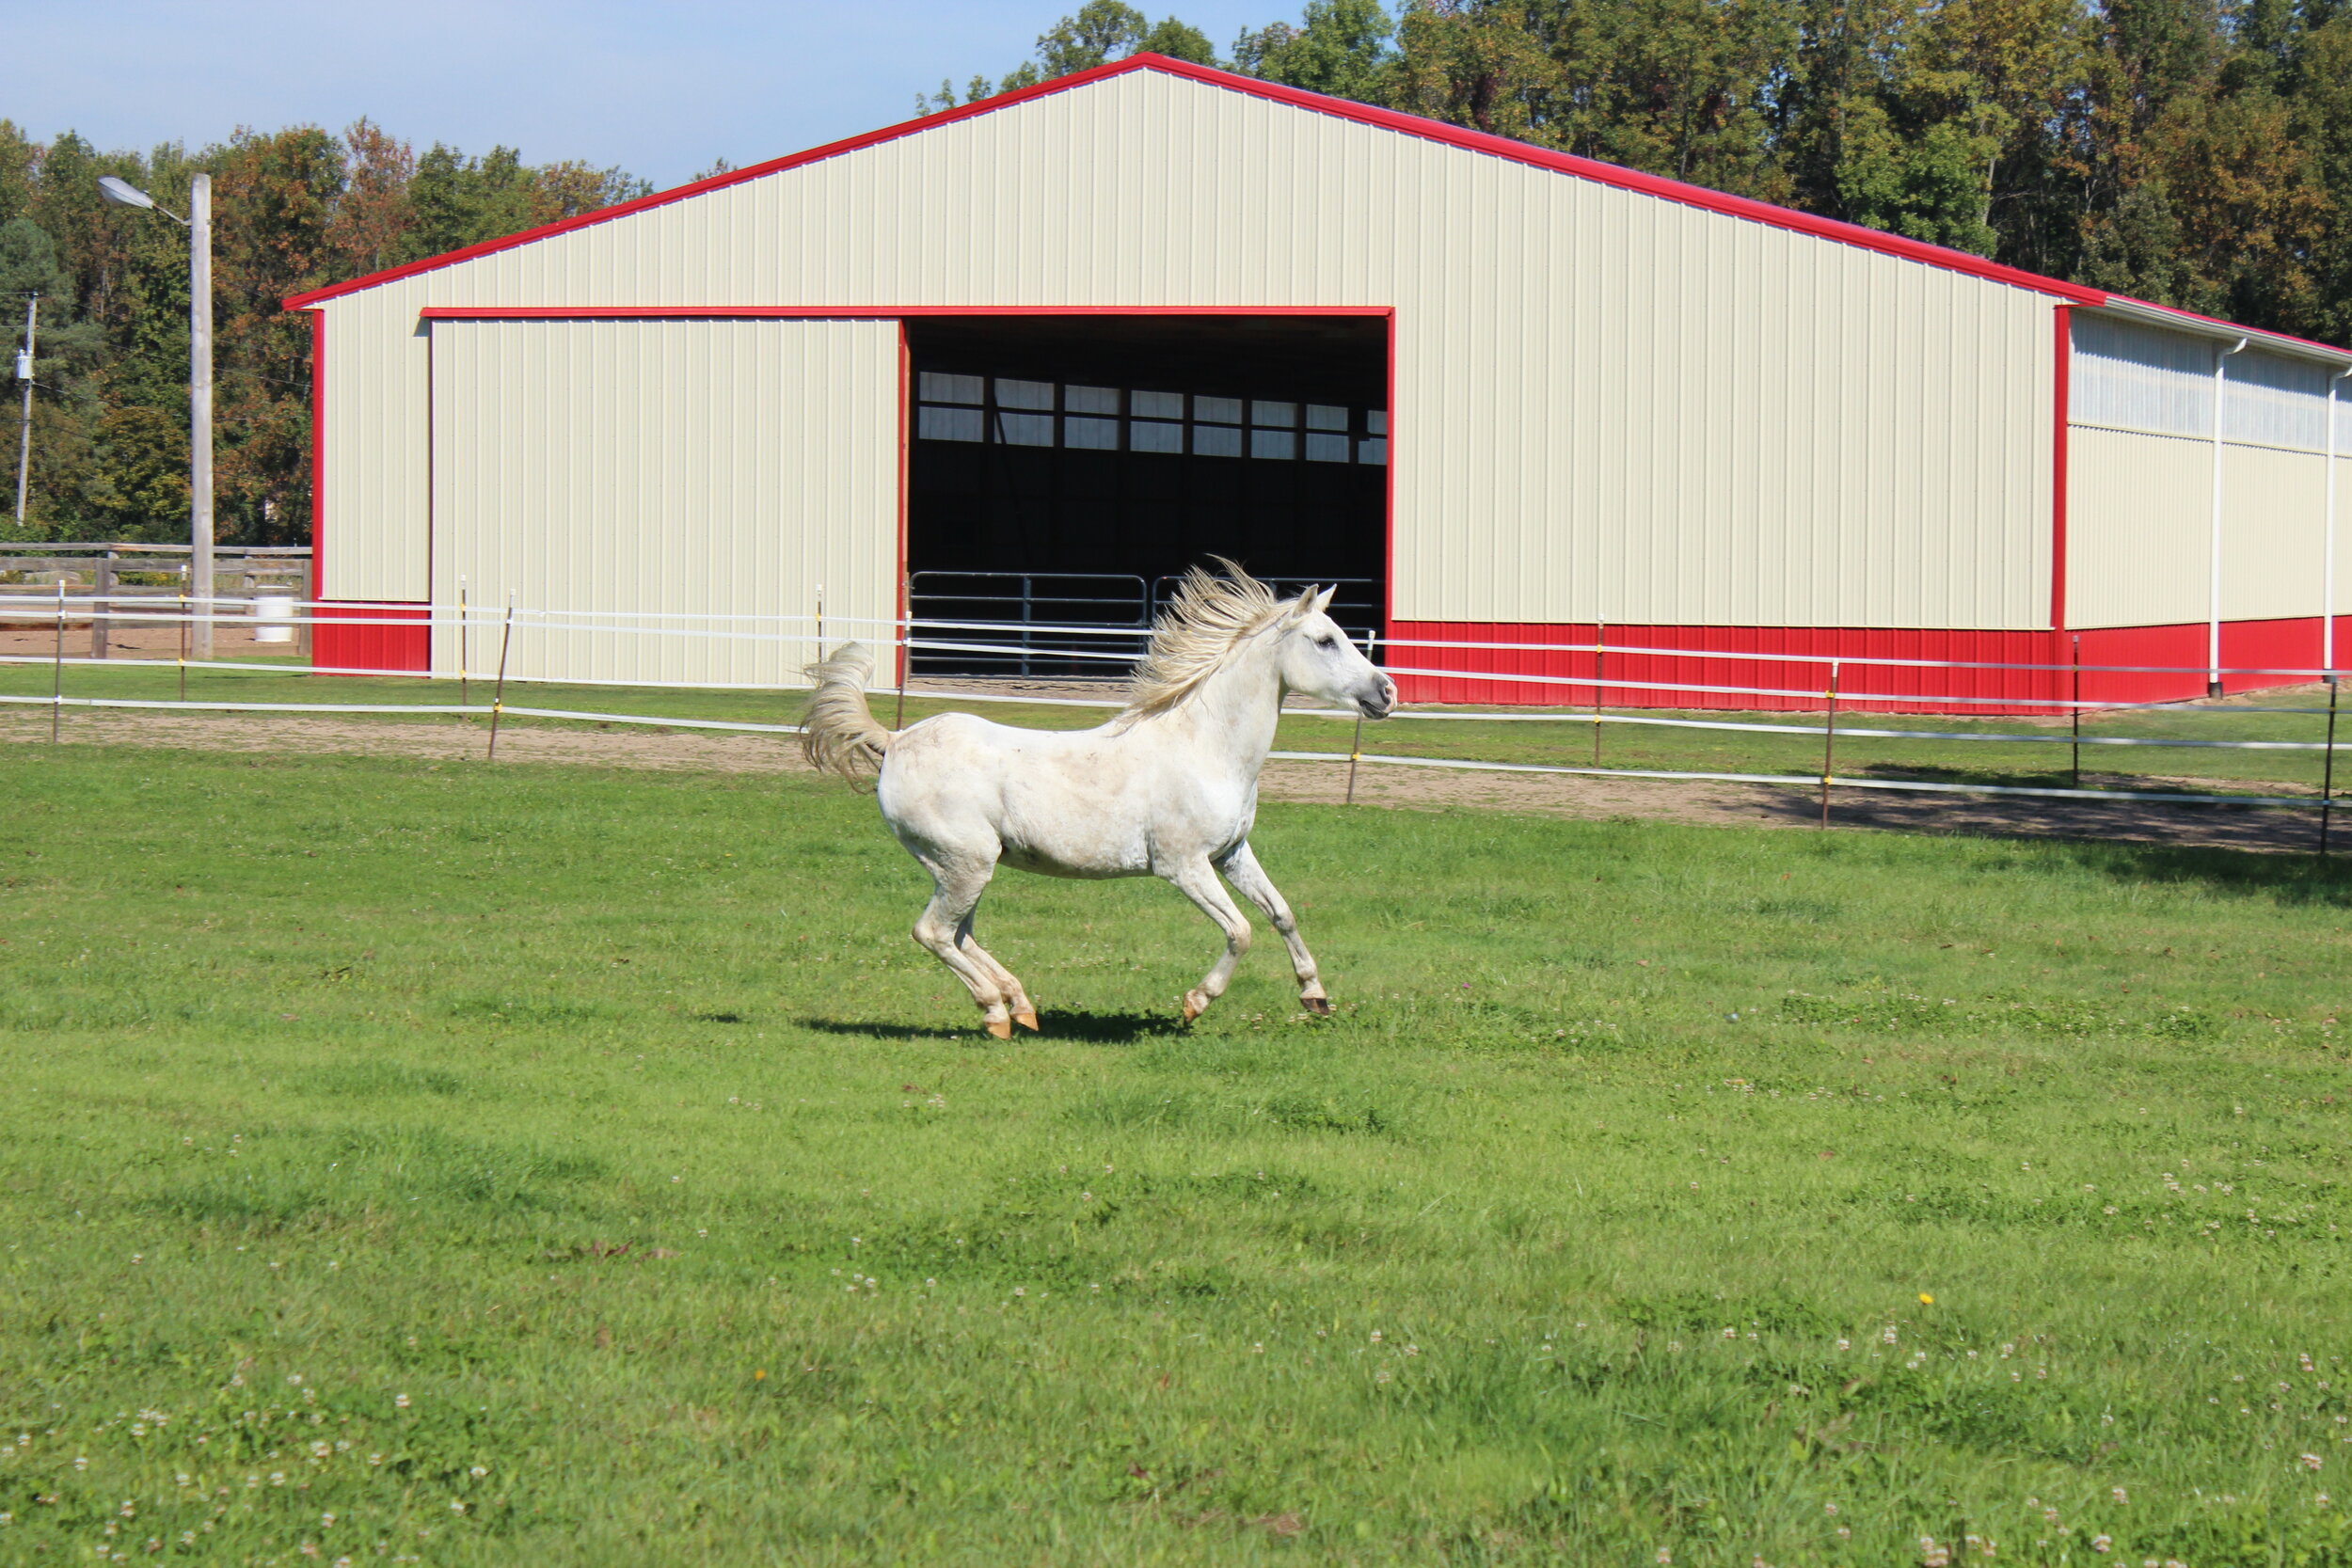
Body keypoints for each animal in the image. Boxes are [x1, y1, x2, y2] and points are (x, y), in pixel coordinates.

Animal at [804, 566, 1392, 1043]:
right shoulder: (1184, 866)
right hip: (963, 863)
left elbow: (1281, 913)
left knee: (959, 934)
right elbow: (1241, 931)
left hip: (964, 866)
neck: (1205, 747)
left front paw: (1315, 996)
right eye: (1325, 640)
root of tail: (895, 740)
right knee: (932, 933)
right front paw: (1194, 1004)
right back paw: (995, 1012)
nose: (1385, 693)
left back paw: (1021, 1006)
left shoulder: (1230, 854)